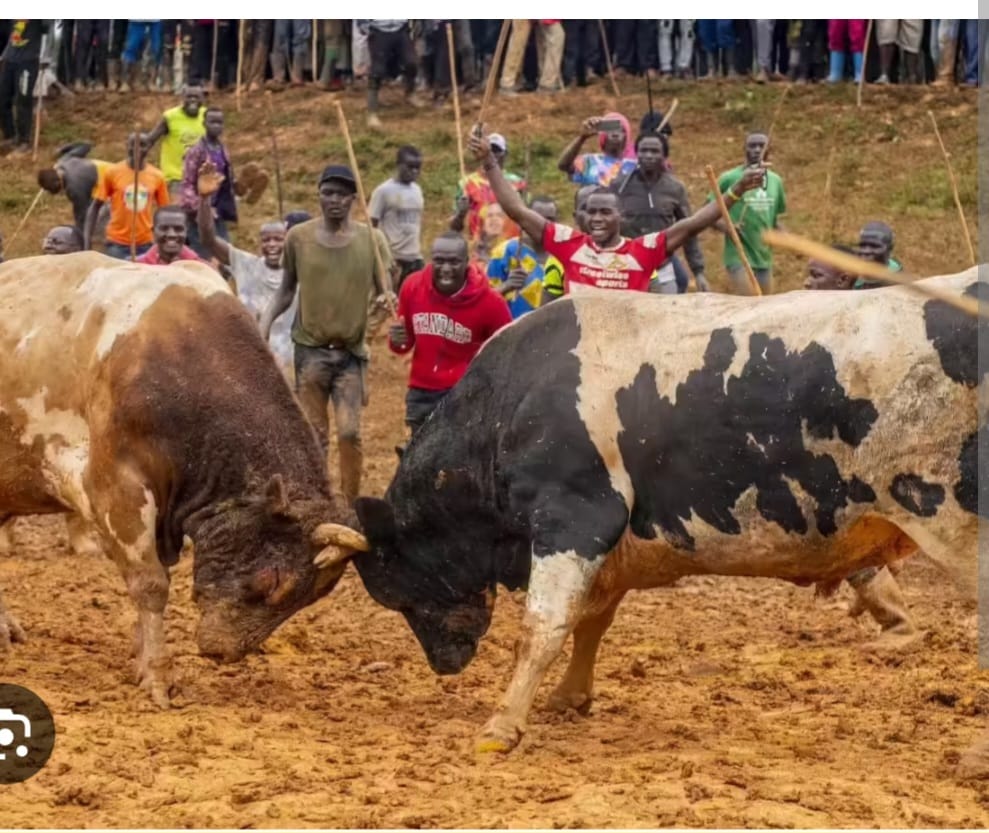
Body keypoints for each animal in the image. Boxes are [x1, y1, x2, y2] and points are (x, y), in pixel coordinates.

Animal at [0, 252, 367, 706]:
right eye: (274, 581)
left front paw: (142, 660)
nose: (222, 650)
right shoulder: (116, 490)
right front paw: (158, 675)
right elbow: (150, 584)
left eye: (310, 597)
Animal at [345, 267, 987, 776]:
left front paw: (501, 728)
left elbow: (544, 626)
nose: (443, 662)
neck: (506, 405)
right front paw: (569, 697)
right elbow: (592, 621)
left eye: (393, 588)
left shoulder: (572, 517)